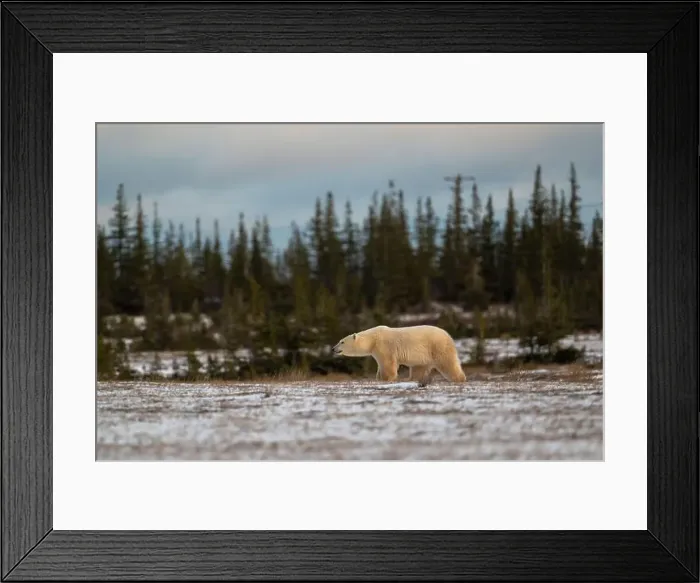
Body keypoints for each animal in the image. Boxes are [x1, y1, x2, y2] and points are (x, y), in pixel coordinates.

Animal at [332, 324, 466, 386]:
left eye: (342, 341)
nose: (333, 349)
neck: (373, 339)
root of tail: (448, 335)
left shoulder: (383, 346)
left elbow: (388, 363)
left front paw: (386, 378)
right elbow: (381, 365)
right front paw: (379, 377)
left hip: (437, 346)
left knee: (448, 363)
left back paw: (459, 378)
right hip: (423, 355)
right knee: (418, 367)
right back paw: (410, 379)